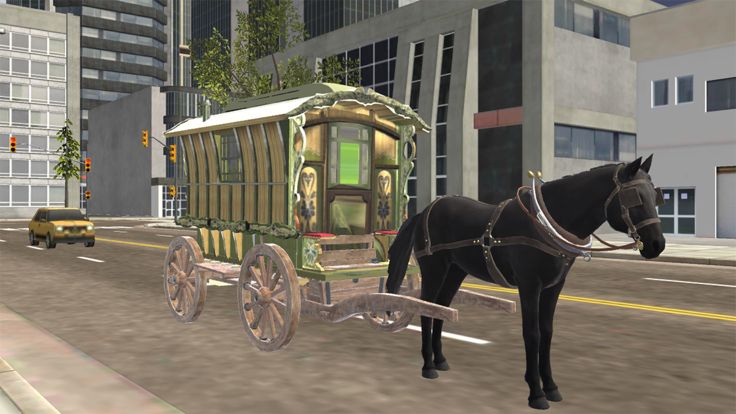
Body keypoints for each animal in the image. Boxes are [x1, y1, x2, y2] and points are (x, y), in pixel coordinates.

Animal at [386, 155, 666, 410]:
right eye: (635, 197)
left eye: (656, 196)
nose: (657, 244)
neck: (545, 224)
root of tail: (424, 211)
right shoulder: (530, 285)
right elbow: (532, 334)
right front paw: (536, 394)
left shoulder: (554, 287)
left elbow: (547, 332)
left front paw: (551, 387)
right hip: (435, 269)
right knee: (426, 308)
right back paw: (428, 366)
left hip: (455, 271)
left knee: (441, 308)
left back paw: (441, 360)